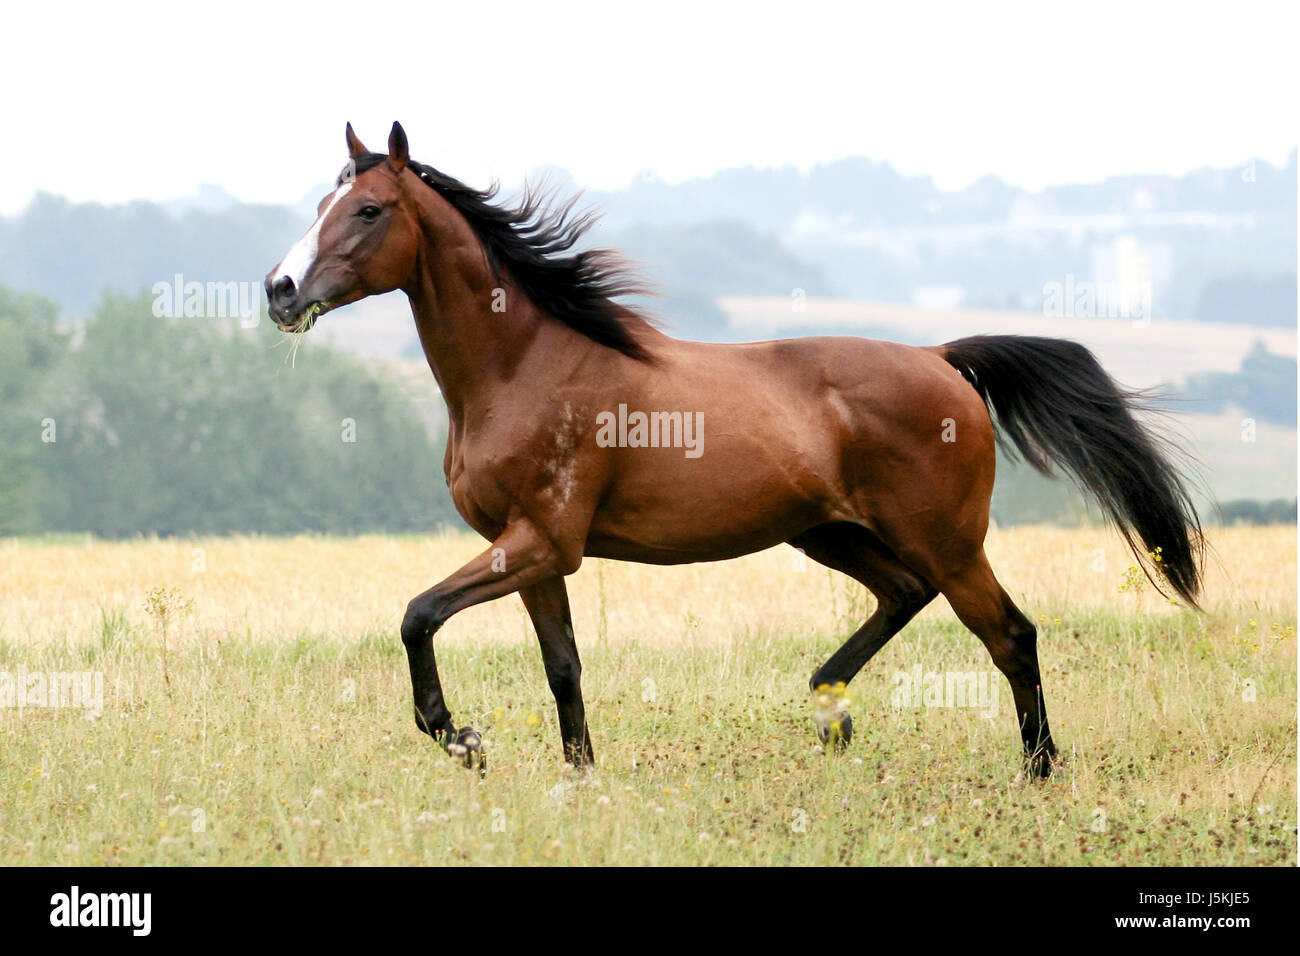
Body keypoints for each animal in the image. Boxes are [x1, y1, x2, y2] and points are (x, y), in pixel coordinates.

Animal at [265, 122, 1203, 778]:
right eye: (318, 209)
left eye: (369, 210)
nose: (279, 291)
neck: (523, 365)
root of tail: (942, 359)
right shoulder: (533, 554)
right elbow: (563, 667)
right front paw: (579, 779)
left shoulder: (539, 542)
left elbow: (417, 614)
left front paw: (458, 736)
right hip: (826, 532)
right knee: (905, 594)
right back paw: (830, 711)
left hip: (945, 539)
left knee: (1010, 635)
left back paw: (1036, 772)